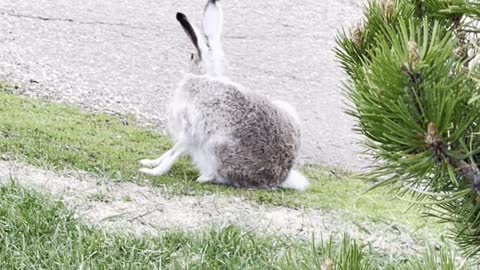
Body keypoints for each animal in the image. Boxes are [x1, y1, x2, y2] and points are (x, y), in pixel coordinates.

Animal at [138, 0, 312, 192]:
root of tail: (278, 178)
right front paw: (149, 162)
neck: (207, 75)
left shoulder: (191, 132)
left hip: (215, 148)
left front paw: (152, 172)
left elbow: (174, 154)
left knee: (217, 175)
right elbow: (170, 151)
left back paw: (203, 177)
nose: (189, 61)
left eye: (191, 55)